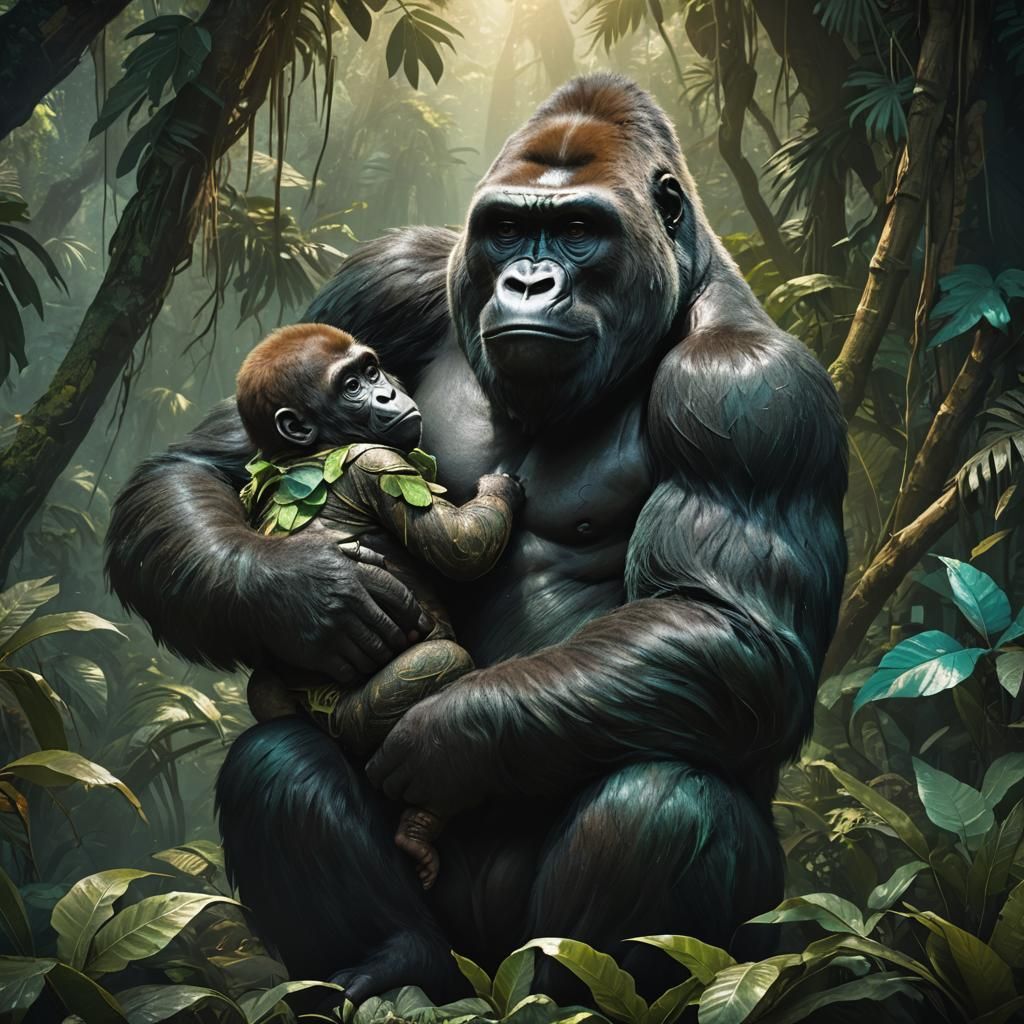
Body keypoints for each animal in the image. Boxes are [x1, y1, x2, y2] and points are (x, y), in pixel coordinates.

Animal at [234, 323, 524, 889]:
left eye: (370, 371)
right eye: (351, 386)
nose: (387, 392)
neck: (317, 449)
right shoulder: (379, 465)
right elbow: (458, 545)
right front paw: (498, 489)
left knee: (265, 690)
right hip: (353, 719)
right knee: (438, 663)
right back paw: (421, 824)